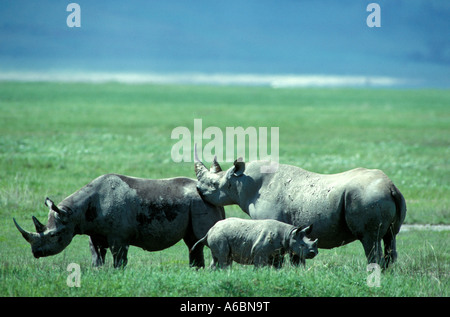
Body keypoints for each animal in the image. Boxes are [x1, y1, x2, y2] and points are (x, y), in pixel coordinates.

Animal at [14, 173, 225, 266]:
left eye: (53, 235)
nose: (36, 253)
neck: (72, 213)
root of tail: (214, 197)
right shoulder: (93, 232)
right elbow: (96, 256)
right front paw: (98, 272)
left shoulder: (119, 237)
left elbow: (118, 258)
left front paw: (117, 273)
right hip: (197, 203)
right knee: (192, 243)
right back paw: (195, 270)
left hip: (200, 203)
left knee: (204, 239)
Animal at [195, 154, 406, 268]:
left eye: (213, 184)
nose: (198, 189)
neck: (242, 182)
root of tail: (390, 186)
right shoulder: (293, 231)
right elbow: (297, 257)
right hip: (380, 196)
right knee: (390, 238)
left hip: (368, 197)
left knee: (369, 239)